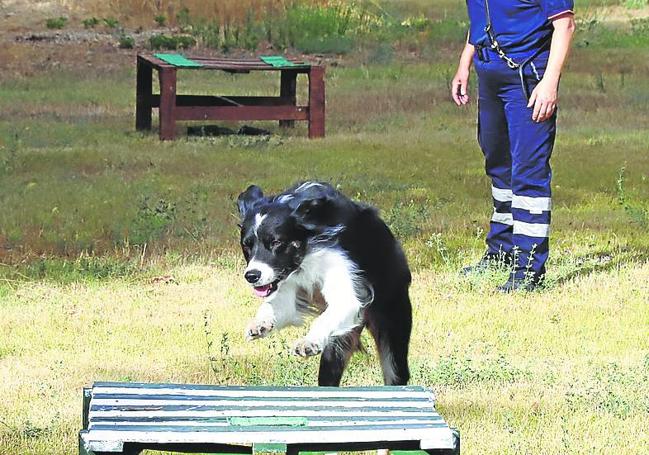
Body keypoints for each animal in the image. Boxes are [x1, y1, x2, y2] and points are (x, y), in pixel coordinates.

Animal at [237, 180, 410, 386]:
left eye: (276, 242)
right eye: (246, 245)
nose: (252, 275)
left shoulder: (339, 270)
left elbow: (331, 311)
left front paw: (308, 343)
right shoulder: (286, 279)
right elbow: (275, 306)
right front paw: (260, 324)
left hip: (391, 325)